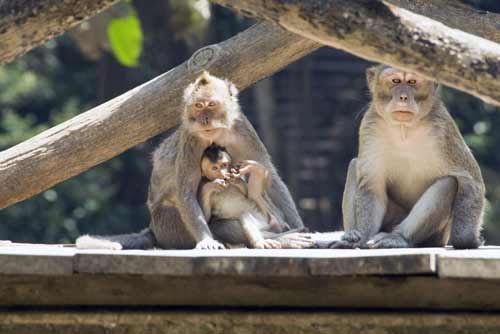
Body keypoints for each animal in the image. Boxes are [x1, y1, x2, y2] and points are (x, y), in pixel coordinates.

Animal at [75, 70, 308, 249]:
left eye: (211, 105)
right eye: (198, 106)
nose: (204, 119)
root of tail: (153, 228)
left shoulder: (243, 129)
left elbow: (270, 173)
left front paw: (298, 223)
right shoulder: (191, 139)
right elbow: (186, 189)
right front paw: (206, 240)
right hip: (172, 227)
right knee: (219, 223)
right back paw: (281, 239)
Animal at [330, 64, 486, 249]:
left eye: (412, 82)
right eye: (395, 81)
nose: (403, 96)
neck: (404, 129)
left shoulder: (443, 129)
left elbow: (469, 181)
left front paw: (467, 240)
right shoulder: (370, 125)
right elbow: (372, 185)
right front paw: (361, 238)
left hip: (436, 236)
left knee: (449, 183)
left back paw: (398, 237)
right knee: (355, 165)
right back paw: (351, 236)